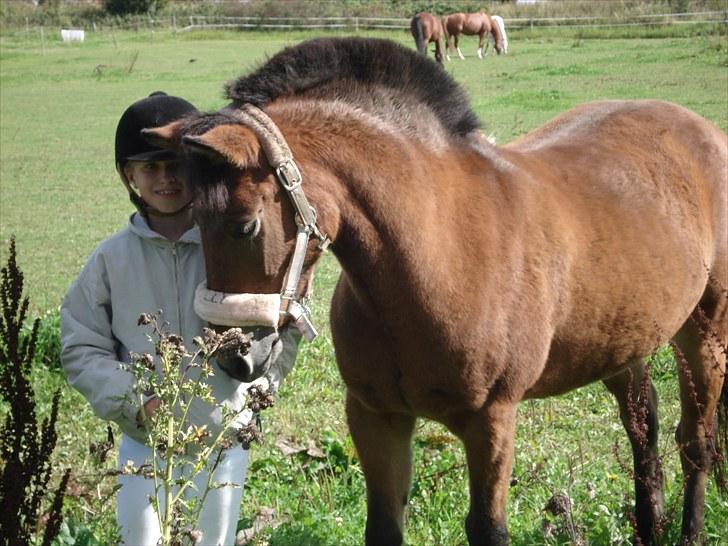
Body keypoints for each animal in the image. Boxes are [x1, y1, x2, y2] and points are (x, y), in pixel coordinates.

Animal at [145, 37, 728, 546]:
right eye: (192, 220)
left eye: (245, 226)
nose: (235, 358)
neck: (437, 258)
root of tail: (703, 131)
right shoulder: (376, 416)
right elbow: (383, 527)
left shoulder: (491, 419)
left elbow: (488, 529)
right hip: (622, 341)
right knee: (644, 430)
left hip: (704, 332)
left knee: (695, 442)